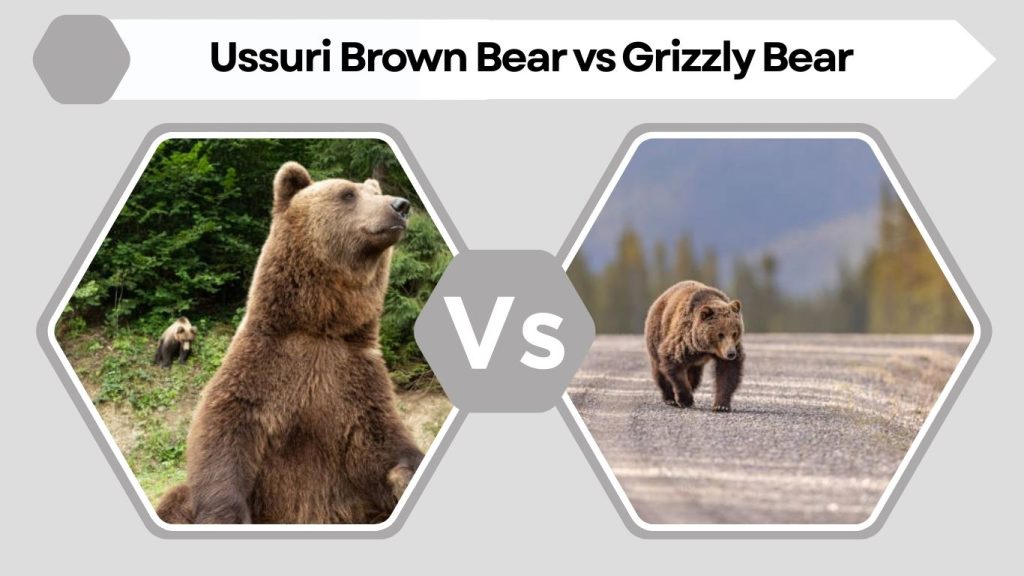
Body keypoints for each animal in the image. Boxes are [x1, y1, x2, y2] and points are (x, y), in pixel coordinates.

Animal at [155, 161, 423, 524]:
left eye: (373, 191)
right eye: (347, 193)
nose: (400, 205)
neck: (320, 327)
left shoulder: (355, 377)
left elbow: (381, 444)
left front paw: (405, 476)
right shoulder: (261, 370)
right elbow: (222, 439)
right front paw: (227, 515)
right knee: (176, 500)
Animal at [644, 280, 745, 412]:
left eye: (734, 333)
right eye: (720, 334)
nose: (731, 353)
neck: (706, 349)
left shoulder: (728, 350)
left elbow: (728, 371)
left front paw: (721, 405)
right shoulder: (683, 341)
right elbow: (673, 363)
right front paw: (685, 400)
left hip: (695, 363)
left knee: (695, 377)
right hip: (657, 333)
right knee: (659, 371)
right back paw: (670, 398)